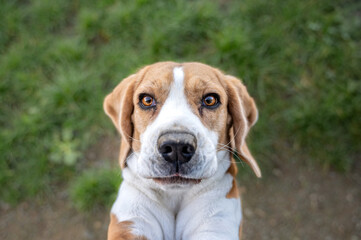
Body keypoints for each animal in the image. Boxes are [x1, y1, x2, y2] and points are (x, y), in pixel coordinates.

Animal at [102, 62, 260, 240]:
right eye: (147, 100)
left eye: (210, 100)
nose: (176, 146)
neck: (175, 195)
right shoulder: (131, 222)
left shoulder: (217, 224)